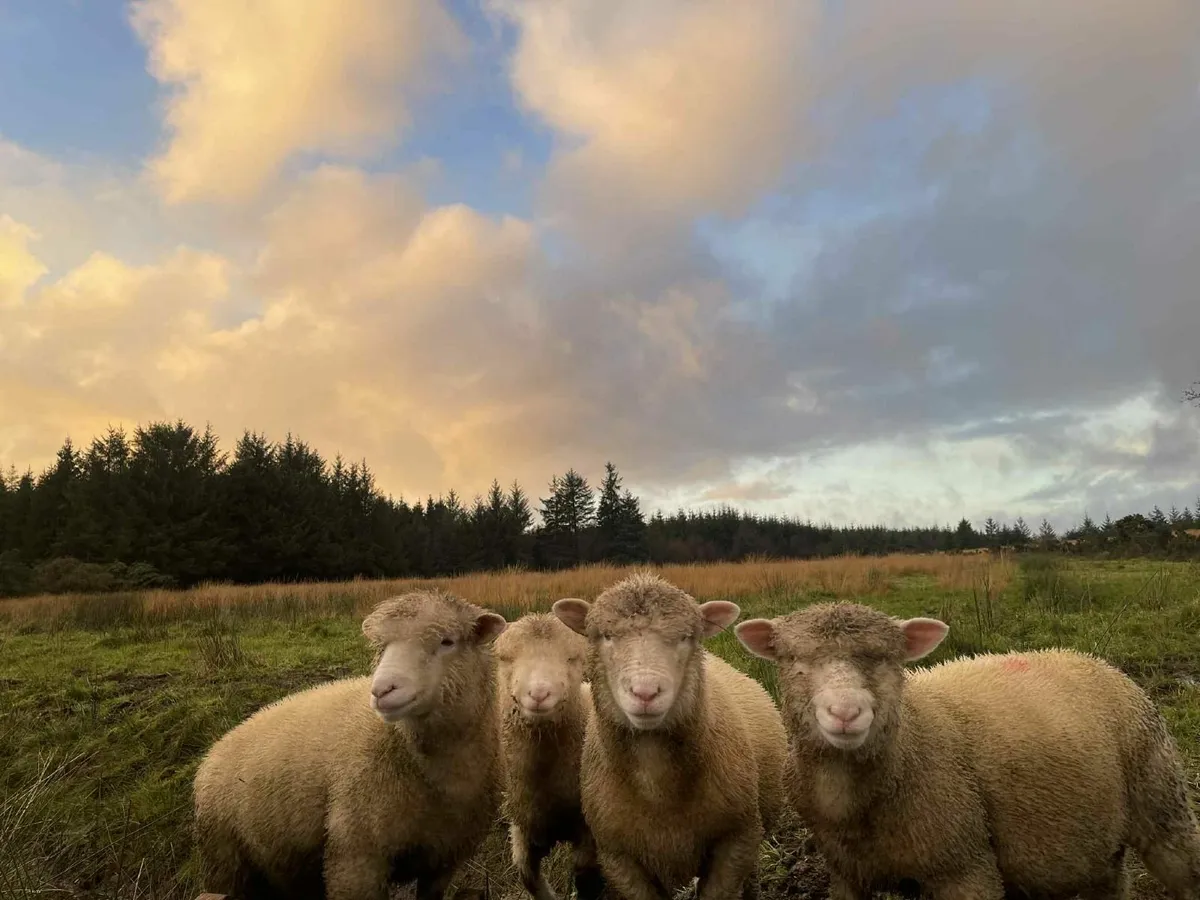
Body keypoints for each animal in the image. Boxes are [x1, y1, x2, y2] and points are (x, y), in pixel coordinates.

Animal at [192, 590, 509, 900]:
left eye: (447, 641)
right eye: (381, 647)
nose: (381, 690)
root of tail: (215, 749)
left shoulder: (444, 858)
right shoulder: (355, 856)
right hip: (225, 861)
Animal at [493, 611, 605, 900]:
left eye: (572, 658)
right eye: (505, 658)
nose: (539, 693)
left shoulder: (589, 831)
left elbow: (586, 878)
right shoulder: (523, 827)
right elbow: (527, 875)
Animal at [552, 571, 787, 900]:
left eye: (686, 637)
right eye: (606, 636)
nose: (645, 692)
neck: (657, 785)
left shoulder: (735, 841)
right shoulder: (619, 859)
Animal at [734, 601, 1200, 900]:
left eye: (887, 659)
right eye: (793, 659)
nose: (846, 712)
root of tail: (1089, 658)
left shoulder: (964, 865)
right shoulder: (848, 874)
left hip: (1162, 798)